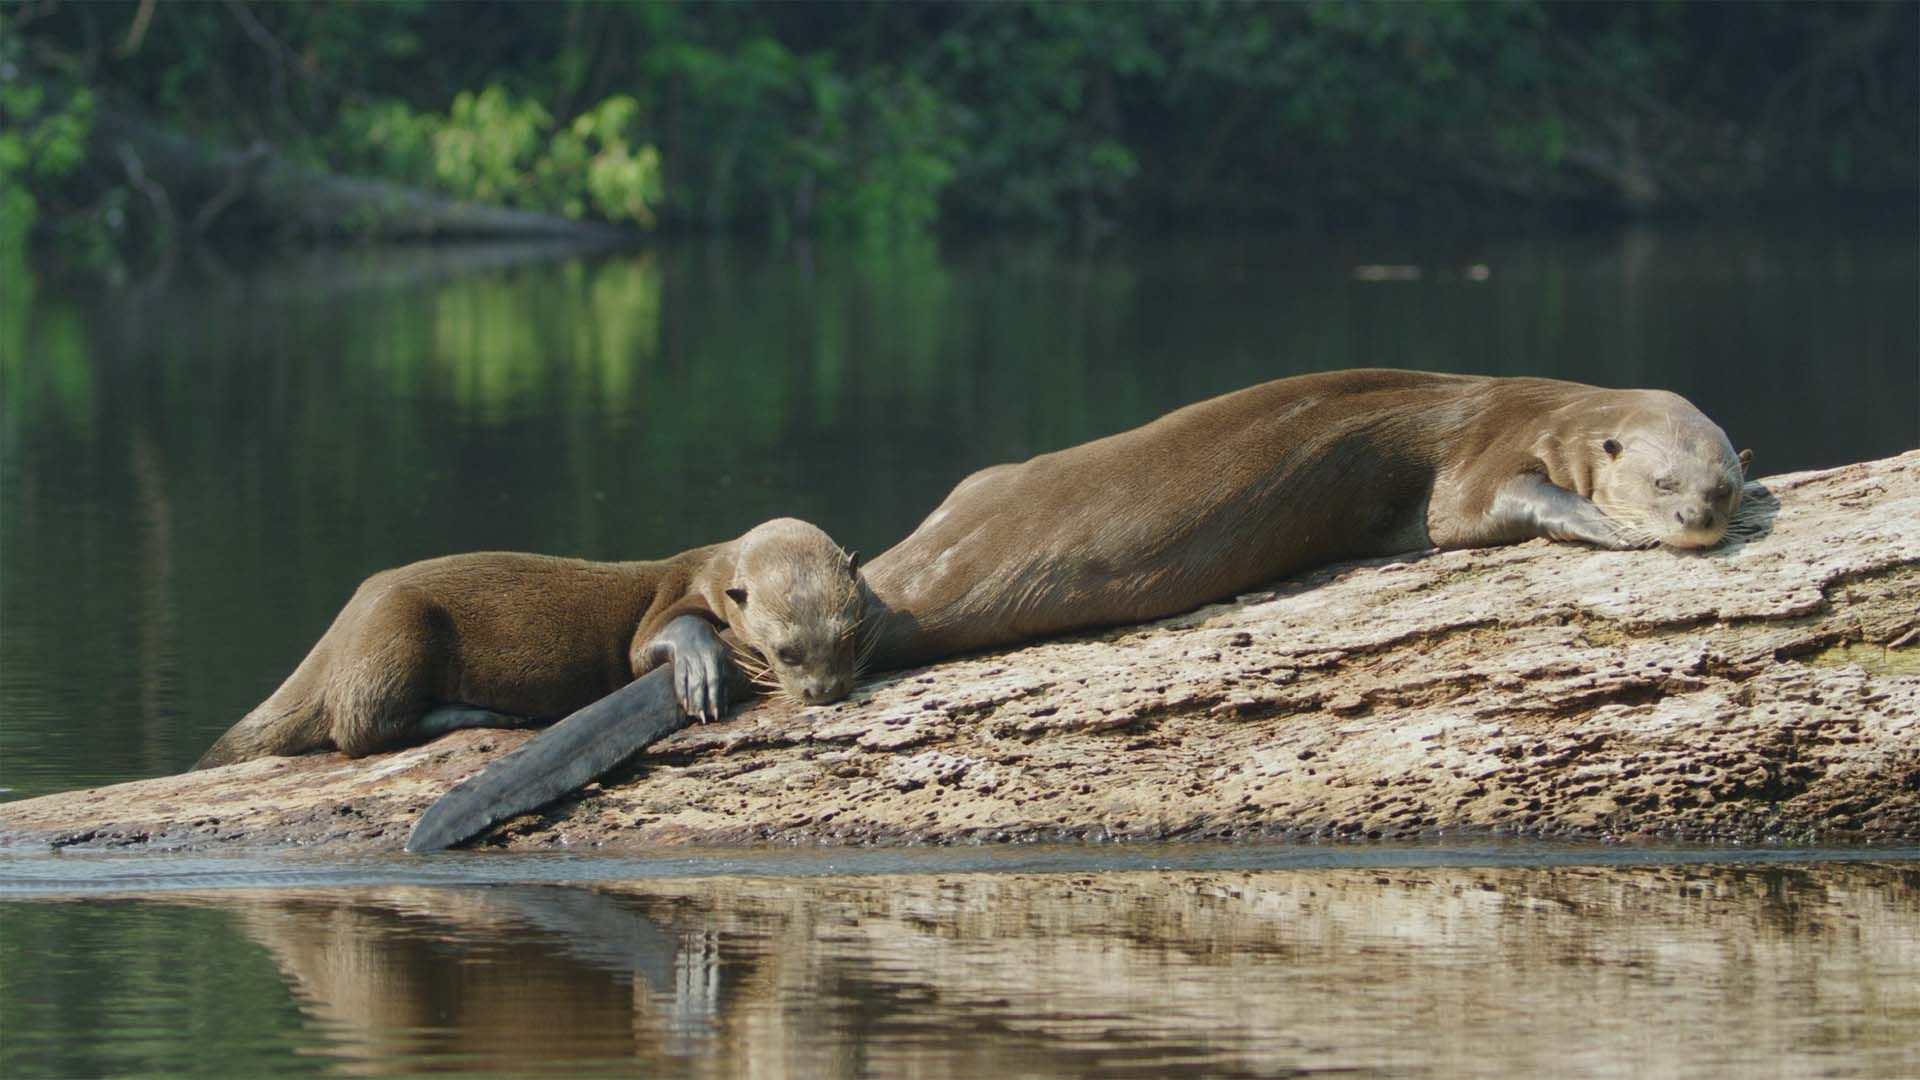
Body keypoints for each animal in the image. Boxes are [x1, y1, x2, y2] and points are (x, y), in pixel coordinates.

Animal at [194, 517, 864, 769]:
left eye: (848, 640)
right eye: (786, 651)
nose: (824, 690)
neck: (711, 570)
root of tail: (334, 638)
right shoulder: (672, 598)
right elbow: (646, 645)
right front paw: (701, 669)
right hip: (395, 627)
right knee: (360, 728)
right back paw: (485, 714)